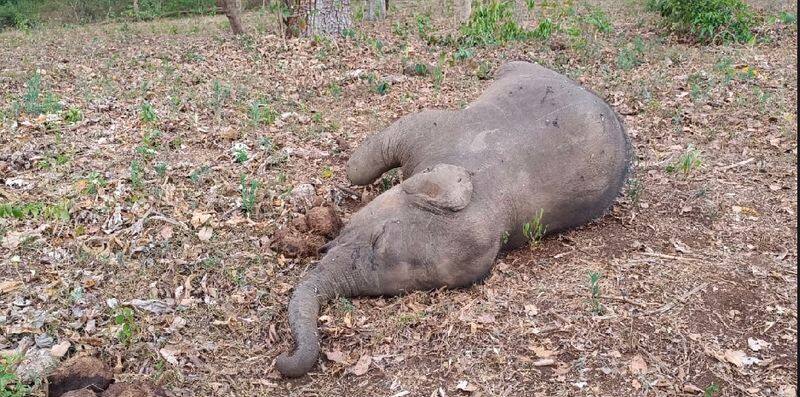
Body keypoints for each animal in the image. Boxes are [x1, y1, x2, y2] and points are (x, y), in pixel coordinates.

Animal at [276, 60, 632, 376]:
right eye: (378, 237)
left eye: (397, 289)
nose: (284, 359)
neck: (480, 184)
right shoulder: (436, 132)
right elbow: (357, 168)